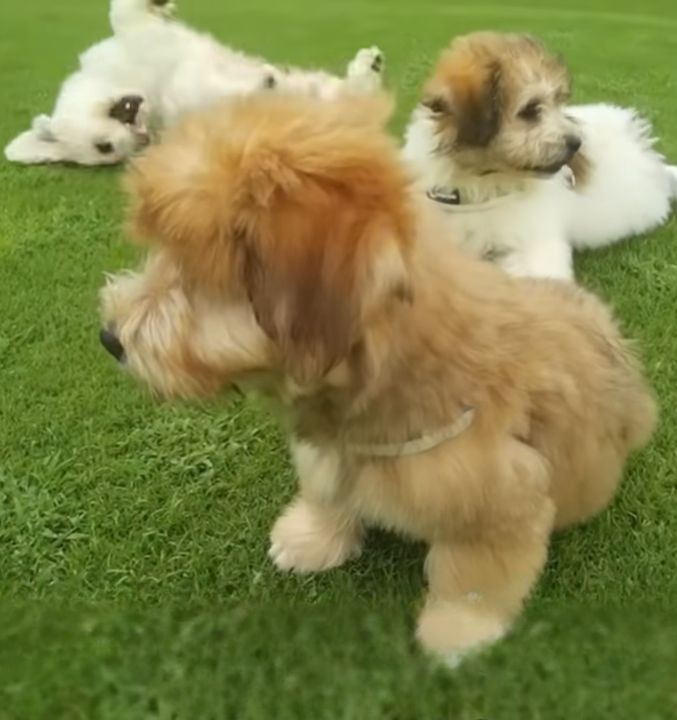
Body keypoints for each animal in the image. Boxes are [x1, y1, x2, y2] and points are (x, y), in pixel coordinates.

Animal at [5, 0, 382, 165]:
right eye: (107, 149)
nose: (139, 140)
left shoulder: (140, 36)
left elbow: (124, 11)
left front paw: (163, 5)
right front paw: (261, 84)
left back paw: (368, 65)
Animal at [100, 93, 656, 668]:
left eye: (195, 273)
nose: (110, 338)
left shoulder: (499, 504)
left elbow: (471, 580)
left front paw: (456, 636)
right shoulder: (330, 453)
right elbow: (328, 494)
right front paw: (311, 537)